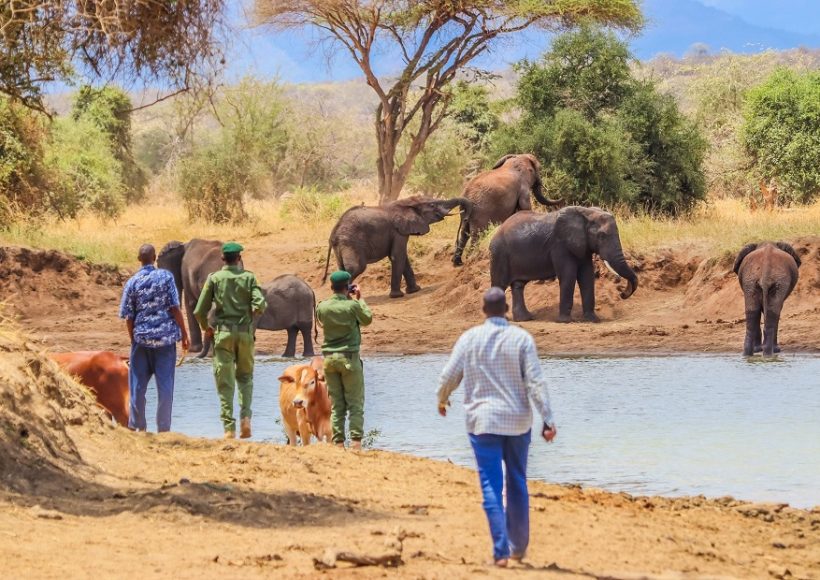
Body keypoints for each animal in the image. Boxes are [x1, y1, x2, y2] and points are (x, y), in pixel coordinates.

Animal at [322, 195, 472, 298]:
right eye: (432, 205)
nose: (465, 215)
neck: (406, 202)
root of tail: (333, 234)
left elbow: (403, 258)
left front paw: (415, 290)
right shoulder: (398, 231)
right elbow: (397, 256)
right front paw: (397, 296)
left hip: (341, 245)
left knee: (342, 268)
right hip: (351, 242)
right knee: (356, 267)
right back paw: (346, 298)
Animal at [490, 206, 638, 323]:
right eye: (601, 236)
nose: (621, 293)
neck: (587, 212)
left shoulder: (582, 246)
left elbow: (587, 276)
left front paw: (593, 320)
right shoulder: (560, 245)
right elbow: (568, 276)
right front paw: (565, 321)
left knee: (518, 285)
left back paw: (525, 319)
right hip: (499, 254)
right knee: (499, 285)